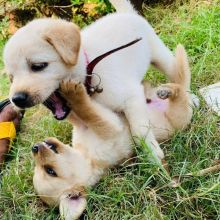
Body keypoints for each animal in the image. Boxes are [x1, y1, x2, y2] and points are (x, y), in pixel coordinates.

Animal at [3, 0, 180, 160]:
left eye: (38, 66)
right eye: (11, 78)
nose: (17, 99)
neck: (89, 72)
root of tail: (126, 13)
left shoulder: (132, 97)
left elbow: (139, 131)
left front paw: (153, 155)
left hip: (161, 57)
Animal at [32, 45, 192, 220]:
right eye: (50, 171)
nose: (35, 147)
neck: (87, 157)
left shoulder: (84, 125)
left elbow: (76, 114)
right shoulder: (110, 125)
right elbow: (89, 112)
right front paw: (74, 94)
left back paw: (158, 88)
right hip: (178, 115)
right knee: (181, 91)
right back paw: (170, 89)